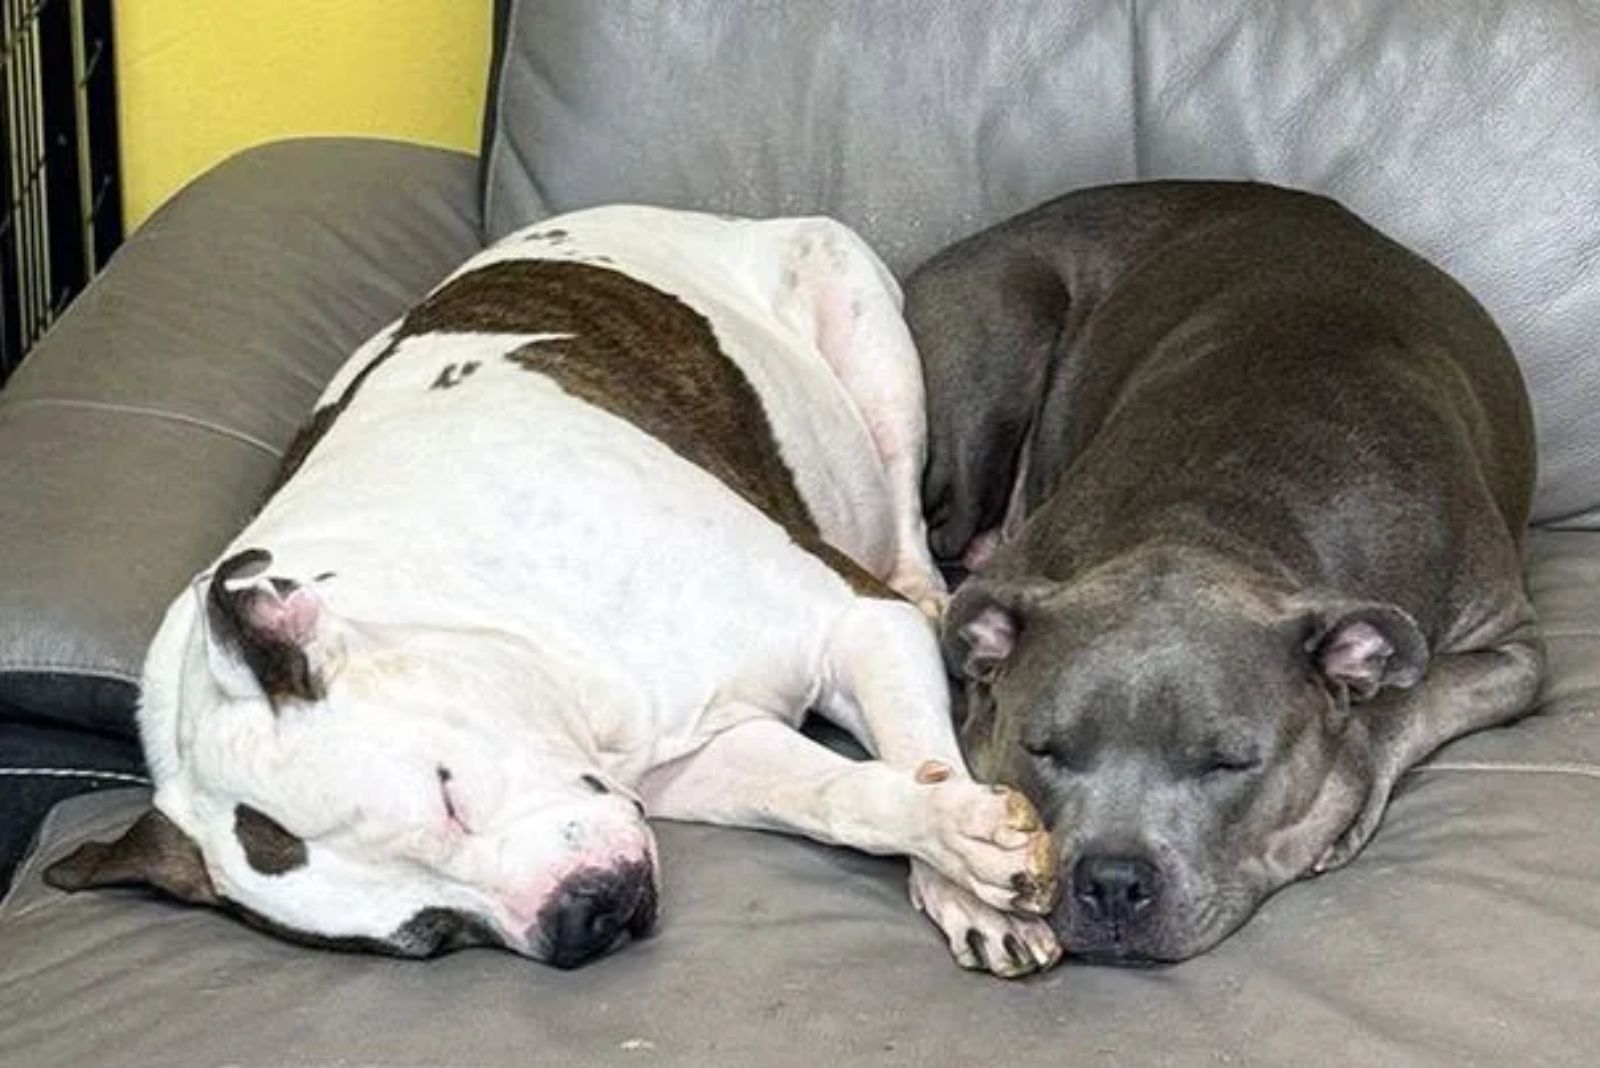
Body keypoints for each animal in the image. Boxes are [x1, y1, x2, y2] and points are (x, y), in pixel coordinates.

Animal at [43, 206, 1062, 978]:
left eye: (448, 796)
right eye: (434, 935)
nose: (582, 918)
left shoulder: (856, 622)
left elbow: (925, 753)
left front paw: (971, 878)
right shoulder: (705, 762)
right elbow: (841, 795)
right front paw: (948, 850)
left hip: (865, 331)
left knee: (904, 523)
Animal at [908, 179, 1542, 965]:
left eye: (1228, 764)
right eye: (1044, 749)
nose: (1112, 880)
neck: (1218, 518)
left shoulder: (1513, 648)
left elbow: (1407, 700)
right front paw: (968, 885)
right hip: (996, 352)